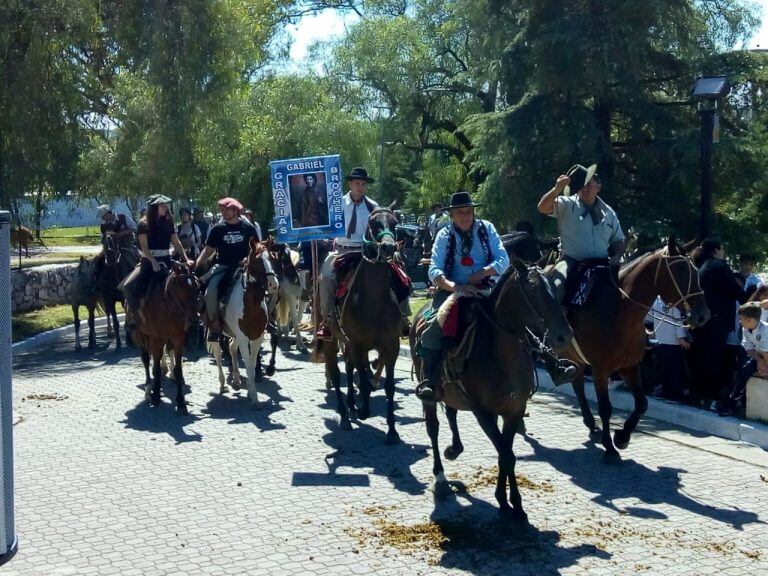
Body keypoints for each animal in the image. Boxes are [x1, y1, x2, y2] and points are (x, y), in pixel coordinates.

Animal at [131, 260, 201, 414]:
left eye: (197, 286)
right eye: (180, 287)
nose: (193, 318)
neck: (167, 307)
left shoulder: (178, 337)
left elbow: (178, 368)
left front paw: (181, 402)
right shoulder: (156, 338)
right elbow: (155, 367)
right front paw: (156, 396)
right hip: (139, 334)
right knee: (146, 359)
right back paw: (149, 389)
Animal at [314, 205, 404, 444]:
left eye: (395, 223)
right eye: (373, 224)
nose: (389, 247)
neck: (374, 302)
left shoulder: (391, 346)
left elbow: (388, 386)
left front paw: (392, 430)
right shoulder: (358, 344)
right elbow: (362, 379)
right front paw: (364, 409)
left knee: (348, 366)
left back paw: (352, 406)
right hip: (331, 341)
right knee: (336, 374)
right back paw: (345, 415)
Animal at [412, 258, 572, 520]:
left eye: (553, 287)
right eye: (531, 289)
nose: (564, 335)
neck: (502, 355)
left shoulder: (514, 410)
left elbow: (506, 453)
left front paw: (509, 501)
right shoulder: (483, 412)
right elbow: (506, 455)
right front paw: (510, 502)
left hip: (453, 393)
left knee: (452, 412)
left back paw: (454, 449)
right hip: (430, 393)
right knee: (433, 428)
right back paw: (441, 477)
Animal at [560, 236, 712, 462]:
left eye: (695, 270)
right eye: (680, 272)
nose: (703, 315)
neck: (618, 311)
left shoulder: (630, 366)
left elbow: (642, 403)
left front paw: (622, 437)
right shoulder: (600, 369)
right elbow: (605, 408)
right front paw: (610, 447)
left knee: (577, 383)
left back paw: (591, 424)